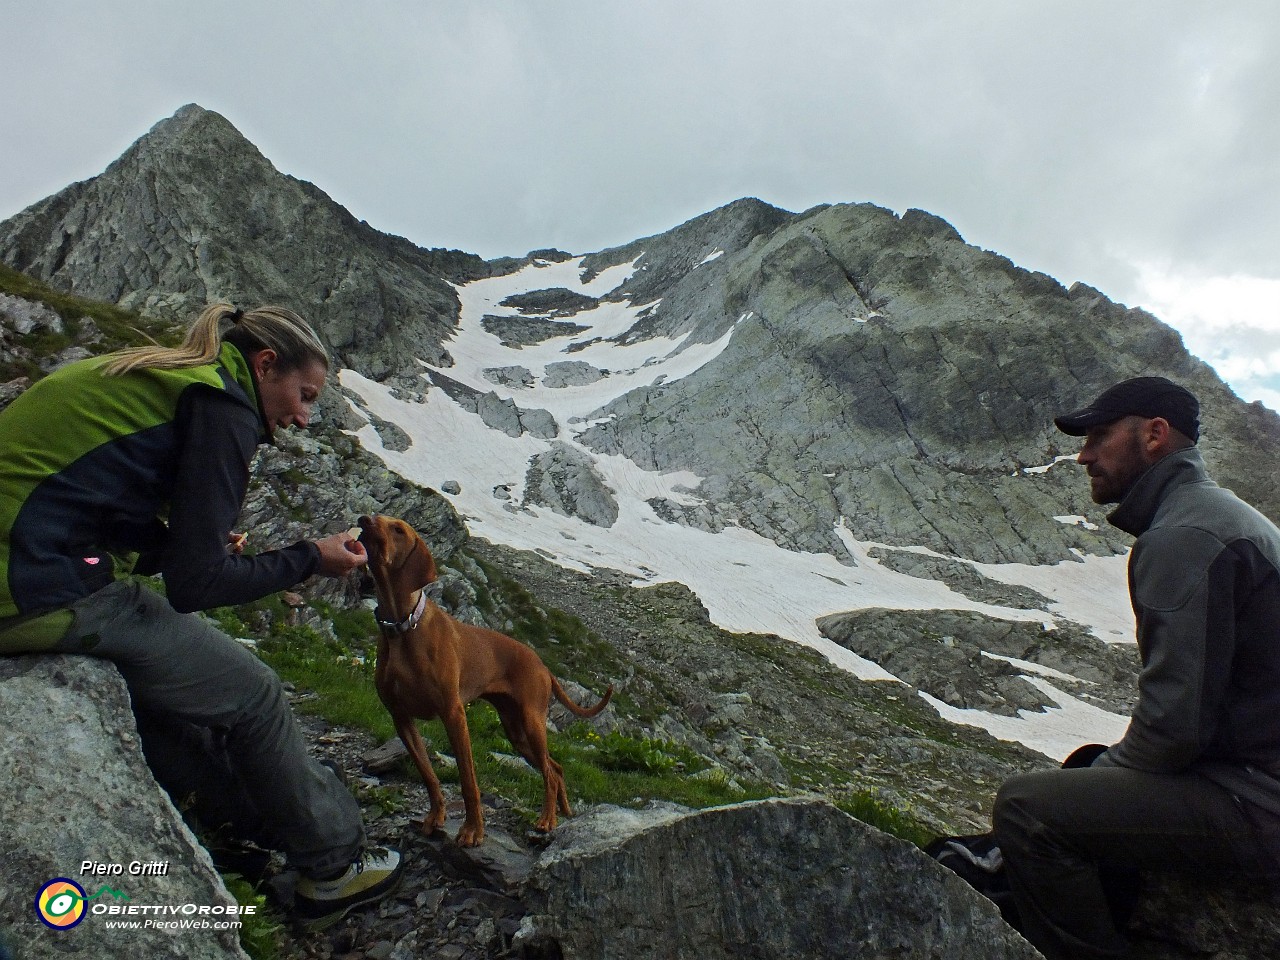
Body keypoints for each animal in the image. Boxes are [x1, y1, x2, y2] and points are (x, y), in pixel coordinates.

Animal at [350, 519, 609, 849]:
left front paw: (473, 830)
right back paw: (563, 811)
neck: (403, 627)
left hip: (531, 722)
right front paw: (436, 817)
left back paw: (547, 820)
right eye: (376, 517)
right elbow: (428, 774)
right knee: (556, 767)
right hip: (516, 733)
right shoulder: (400, 717)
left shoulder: (453, 714)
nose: (363, 520)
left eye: (398, 529)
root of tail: (543, 665)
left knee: (550, 773)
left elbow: (468, 780)